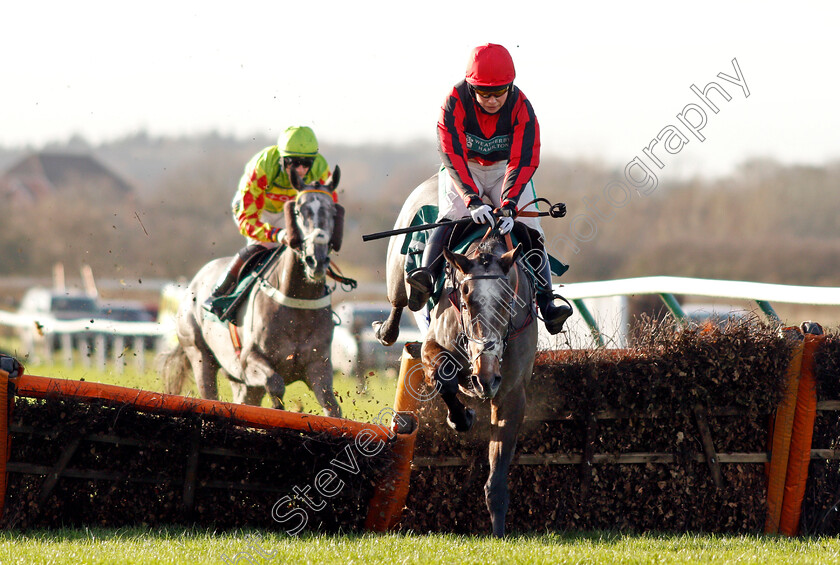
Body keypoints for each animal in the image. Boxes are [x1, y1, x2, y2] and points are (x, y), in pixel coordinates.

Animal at [161, 165, 344, 416]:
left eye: (333, 212)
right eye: (299, 210)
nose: (315, 260)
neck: (297, 302)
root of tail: (194, 282)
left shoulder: (319, 366)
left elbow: (332, 407)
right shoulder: (248, 361)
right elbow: (275, 384)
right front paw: (280, 407)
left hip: (240, 383)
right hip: (199, 355)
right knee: (209, 391)